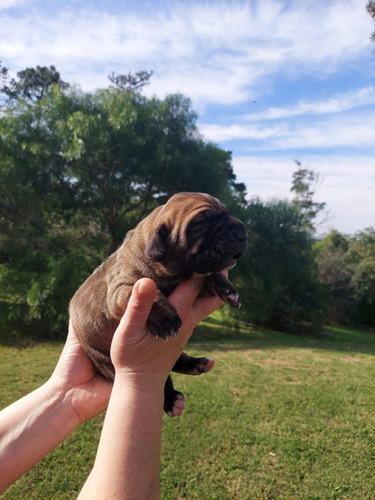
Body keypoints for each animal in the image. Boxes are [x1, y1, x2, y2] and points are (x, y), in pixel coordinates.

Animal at [69, 193, 248, 416]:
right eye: (201, 221)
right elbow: (153, 293)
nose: (243, 233)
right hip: (107, 362)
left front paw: (227, 288)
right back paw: (171, 399)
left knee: (178, 361)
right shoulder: (121, 288)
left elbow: (209, 276)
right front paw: (166, 319)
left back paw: (198, 364)